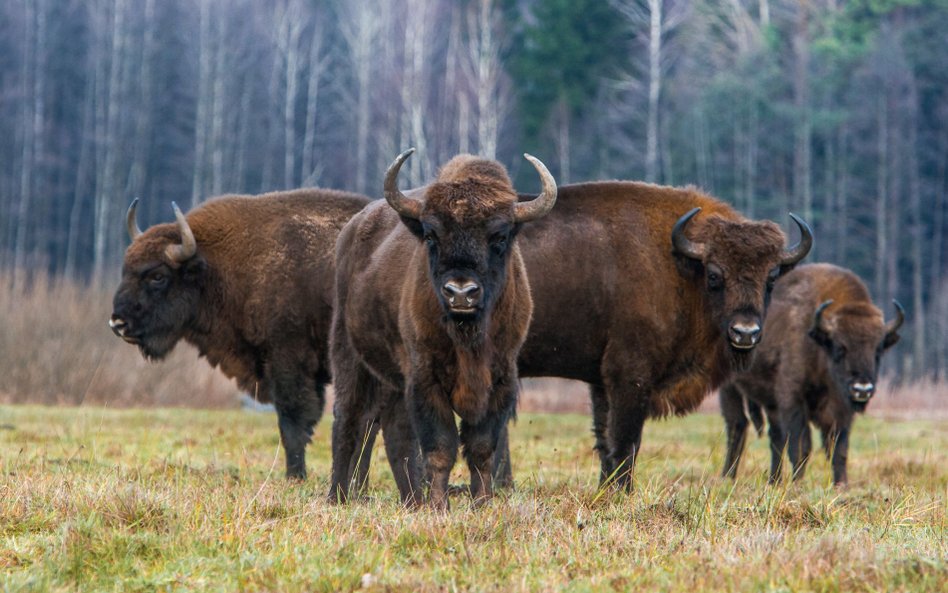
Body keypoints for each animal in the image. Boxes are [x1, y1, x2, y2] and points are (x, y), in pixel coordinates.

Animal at [107, 187, 366, 478]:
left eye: (158, 276)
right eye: (125, 271)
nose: (118, 323)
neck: (217, 266)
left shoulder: (289, 363)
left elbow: (293, 422)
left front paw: (295, 476)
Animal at [332, 149, 560, 508]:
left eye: (500, 236)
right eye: (430, 235)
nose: (461, 293)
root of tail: (351, 230)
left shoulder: (501, 379)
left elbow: (481, 448)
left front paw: (483, 503)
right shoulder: (427, 379)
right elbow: (440, 446)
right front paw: (439, 506)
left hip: (393, 379)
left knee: (392, 431)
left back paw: (411, 499)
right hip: (349, 354)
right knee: (350, 419)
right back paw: (337, 496)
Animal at [720, 264, 904, 486]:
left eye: (878, 350)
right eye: (840, 348)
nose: (862, 389)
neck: (819, 343)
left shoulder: (841, 411)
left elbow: (838, 450)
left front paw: (842, 485)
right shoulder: (794, 401)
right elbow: (801, 447)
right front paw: (798, 483)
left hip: (771, 402)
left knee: (775, 437)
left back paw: (774, 480)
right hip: (730, 388)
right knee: (737, 427)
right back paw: (727, 477)